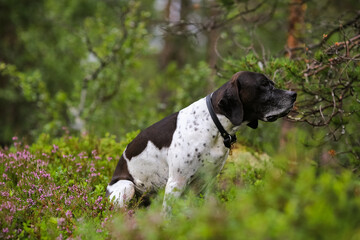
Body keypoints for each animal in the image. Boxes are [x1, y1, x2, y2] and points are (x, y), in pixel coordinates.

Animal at [105, 71, 296, 210]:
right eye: (263, 85)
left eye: (272, 84)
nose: (294, 94)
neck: (214, 125)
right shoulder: (176, 182)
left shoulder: (206, 182)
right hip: (127, 187)